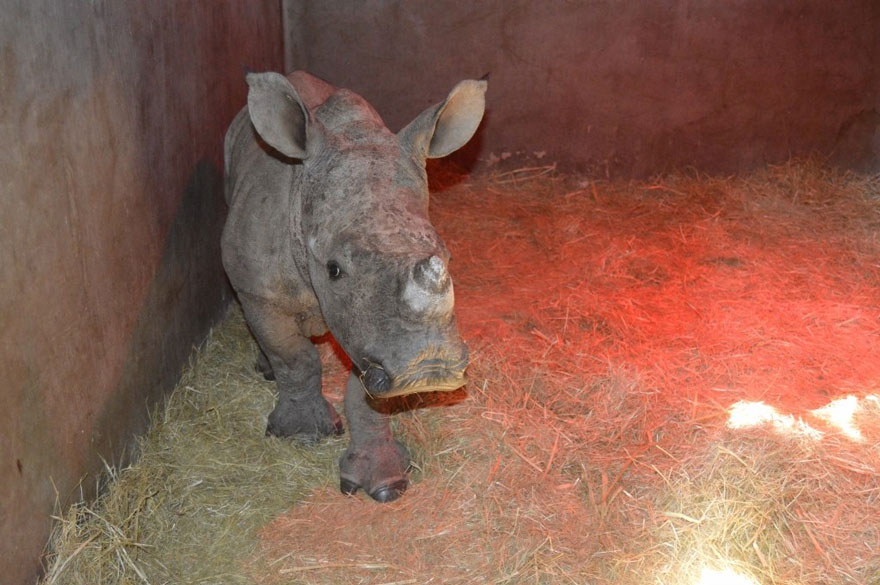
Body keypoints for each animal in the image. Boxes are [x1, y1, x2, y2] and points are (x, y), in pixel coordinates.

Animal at [221, 71, 486, 502]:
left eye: (447, 258)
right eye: (333, 270)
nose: (428, 370)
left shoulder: (368, 327)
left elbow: (365, 392)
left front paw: (385, 483)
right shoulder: (261, 291)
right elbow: (294, 357)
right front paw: (302, 434)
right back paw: (265, 369)